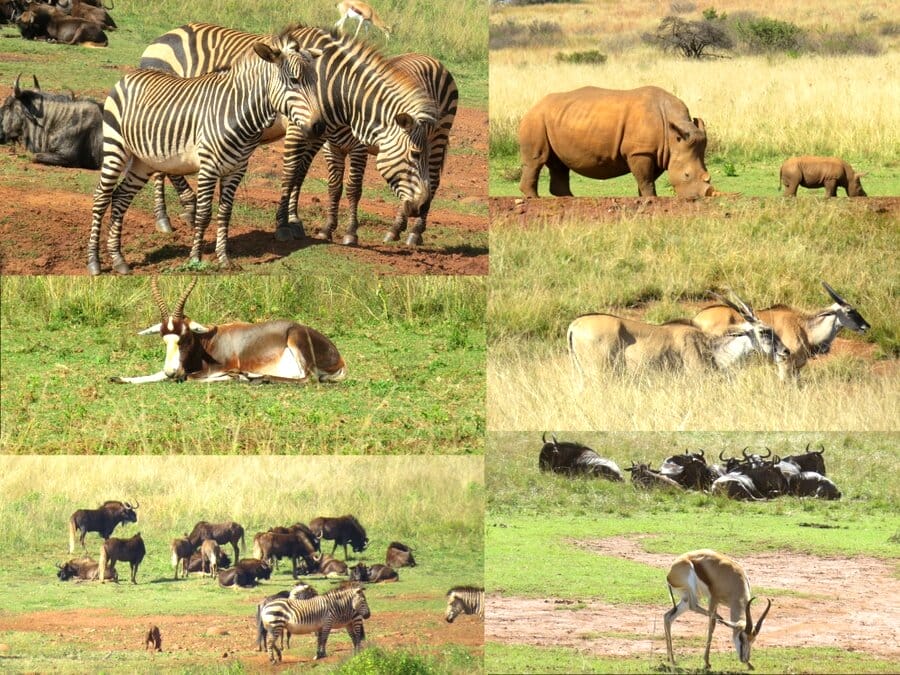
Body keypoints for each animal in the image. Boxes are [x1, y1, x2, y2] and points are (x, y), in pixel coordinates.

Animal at [518, 86, 714, 199]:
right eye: (687, 175)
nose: (705, 196)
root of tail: (533, 106)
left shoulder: (659, 151)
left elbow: (648, 177)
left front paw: (643, 198)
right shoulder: (640, 151)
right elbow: (645, 178)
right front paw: (651, 199)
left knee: (559, 164)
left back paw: (569, 199)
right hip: (536, 119)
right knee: (537, 160)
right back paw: (534, 199)